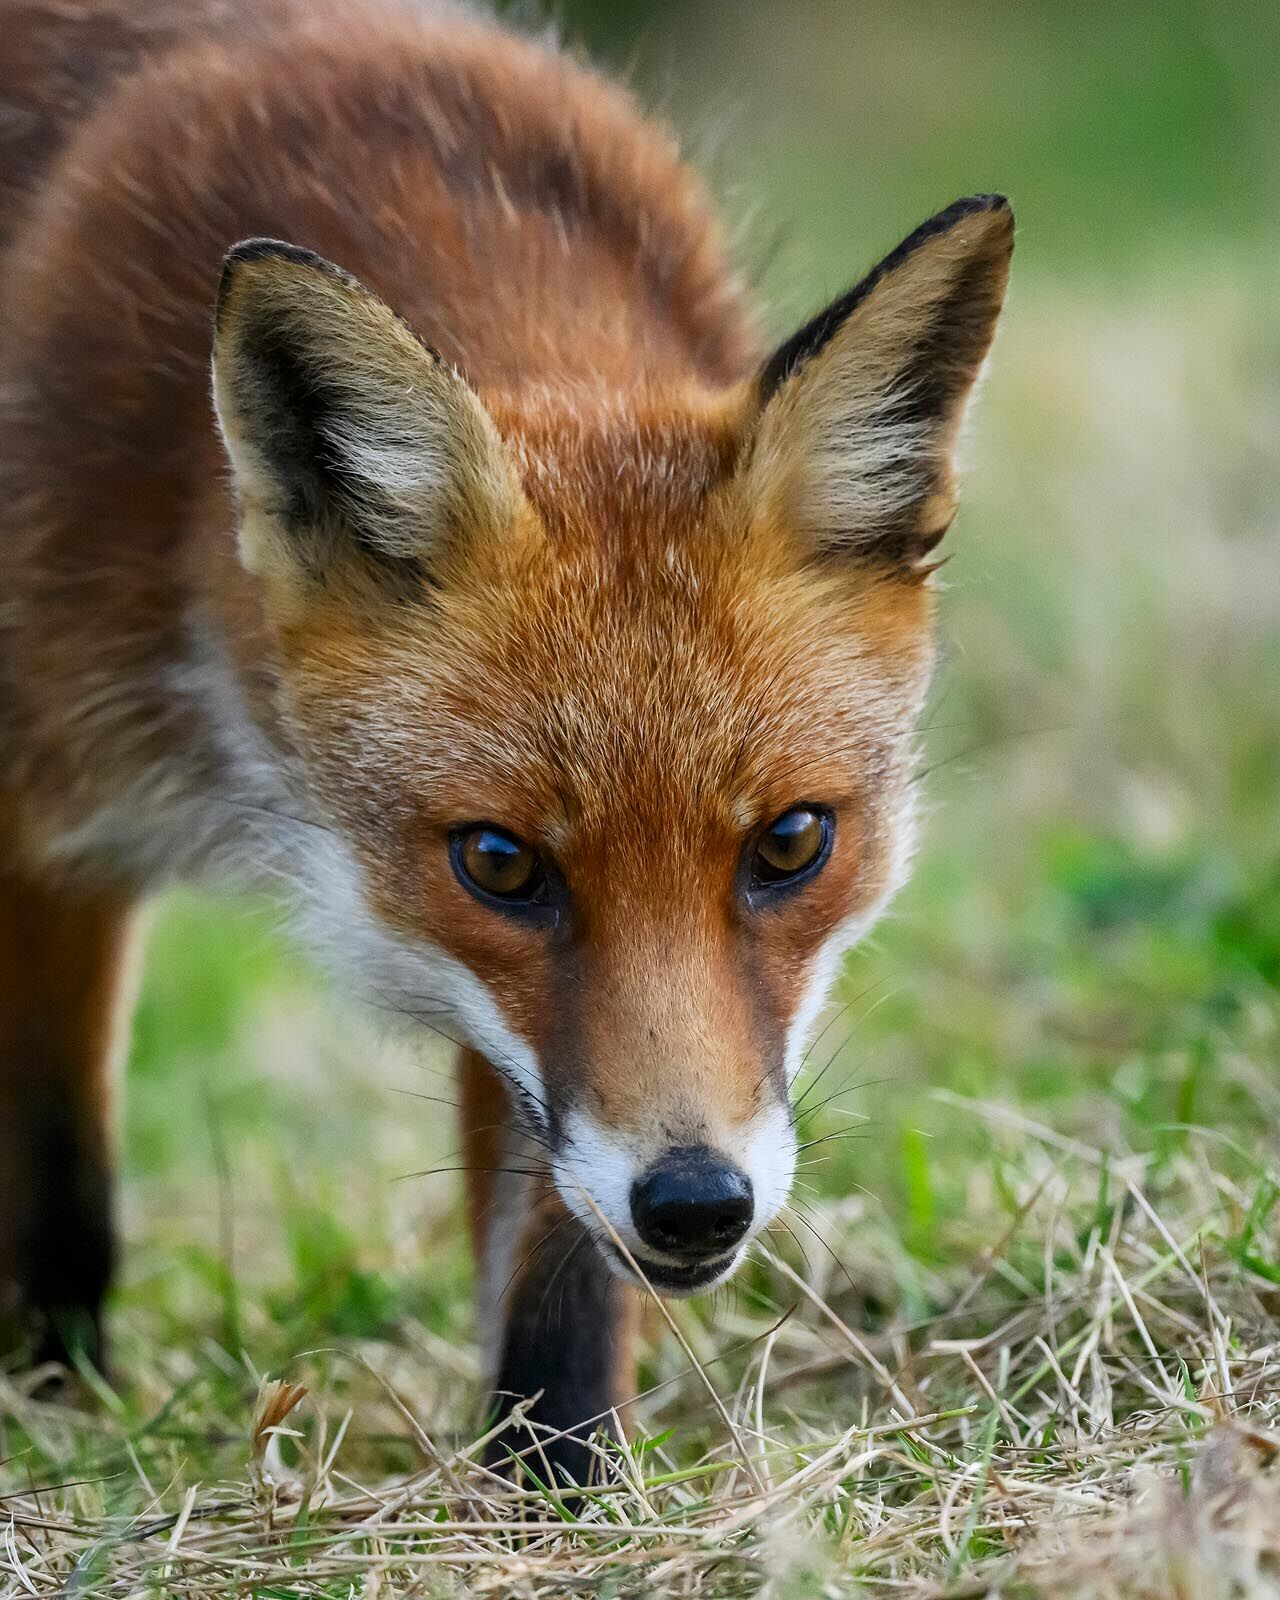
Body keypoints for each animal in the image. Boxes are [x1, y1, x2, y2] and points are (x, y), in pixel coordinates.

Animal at [0, 0, 1012, 1481]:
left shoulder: (544, 1076)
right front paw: (51, 1399)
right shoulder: (44, 831)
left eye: (791, 842)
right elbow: (57, 1175)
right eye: (500, 863)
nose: (695, 1206)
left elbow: (558, 1278)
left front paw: (559, 1485)